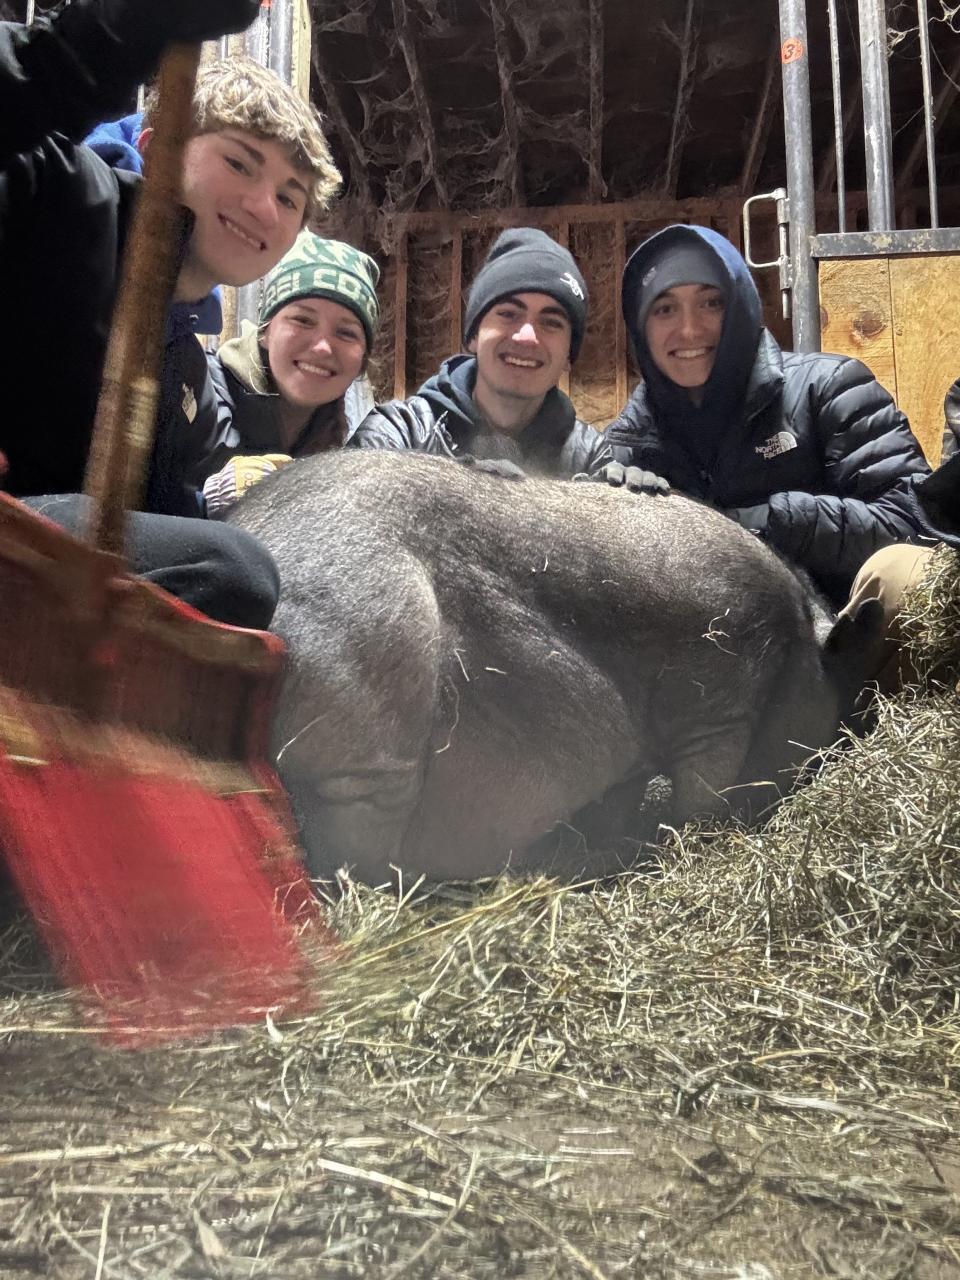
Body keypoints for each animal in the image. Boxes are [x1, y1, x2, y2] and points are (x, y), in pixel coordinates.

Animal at [230, 451, 876, 883]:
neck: (794, 636)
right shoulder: (720, 695)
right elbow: (702, 793)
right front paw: (690, 835)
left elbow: (623, 792)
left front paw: (615, 839)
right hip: (370, 708)